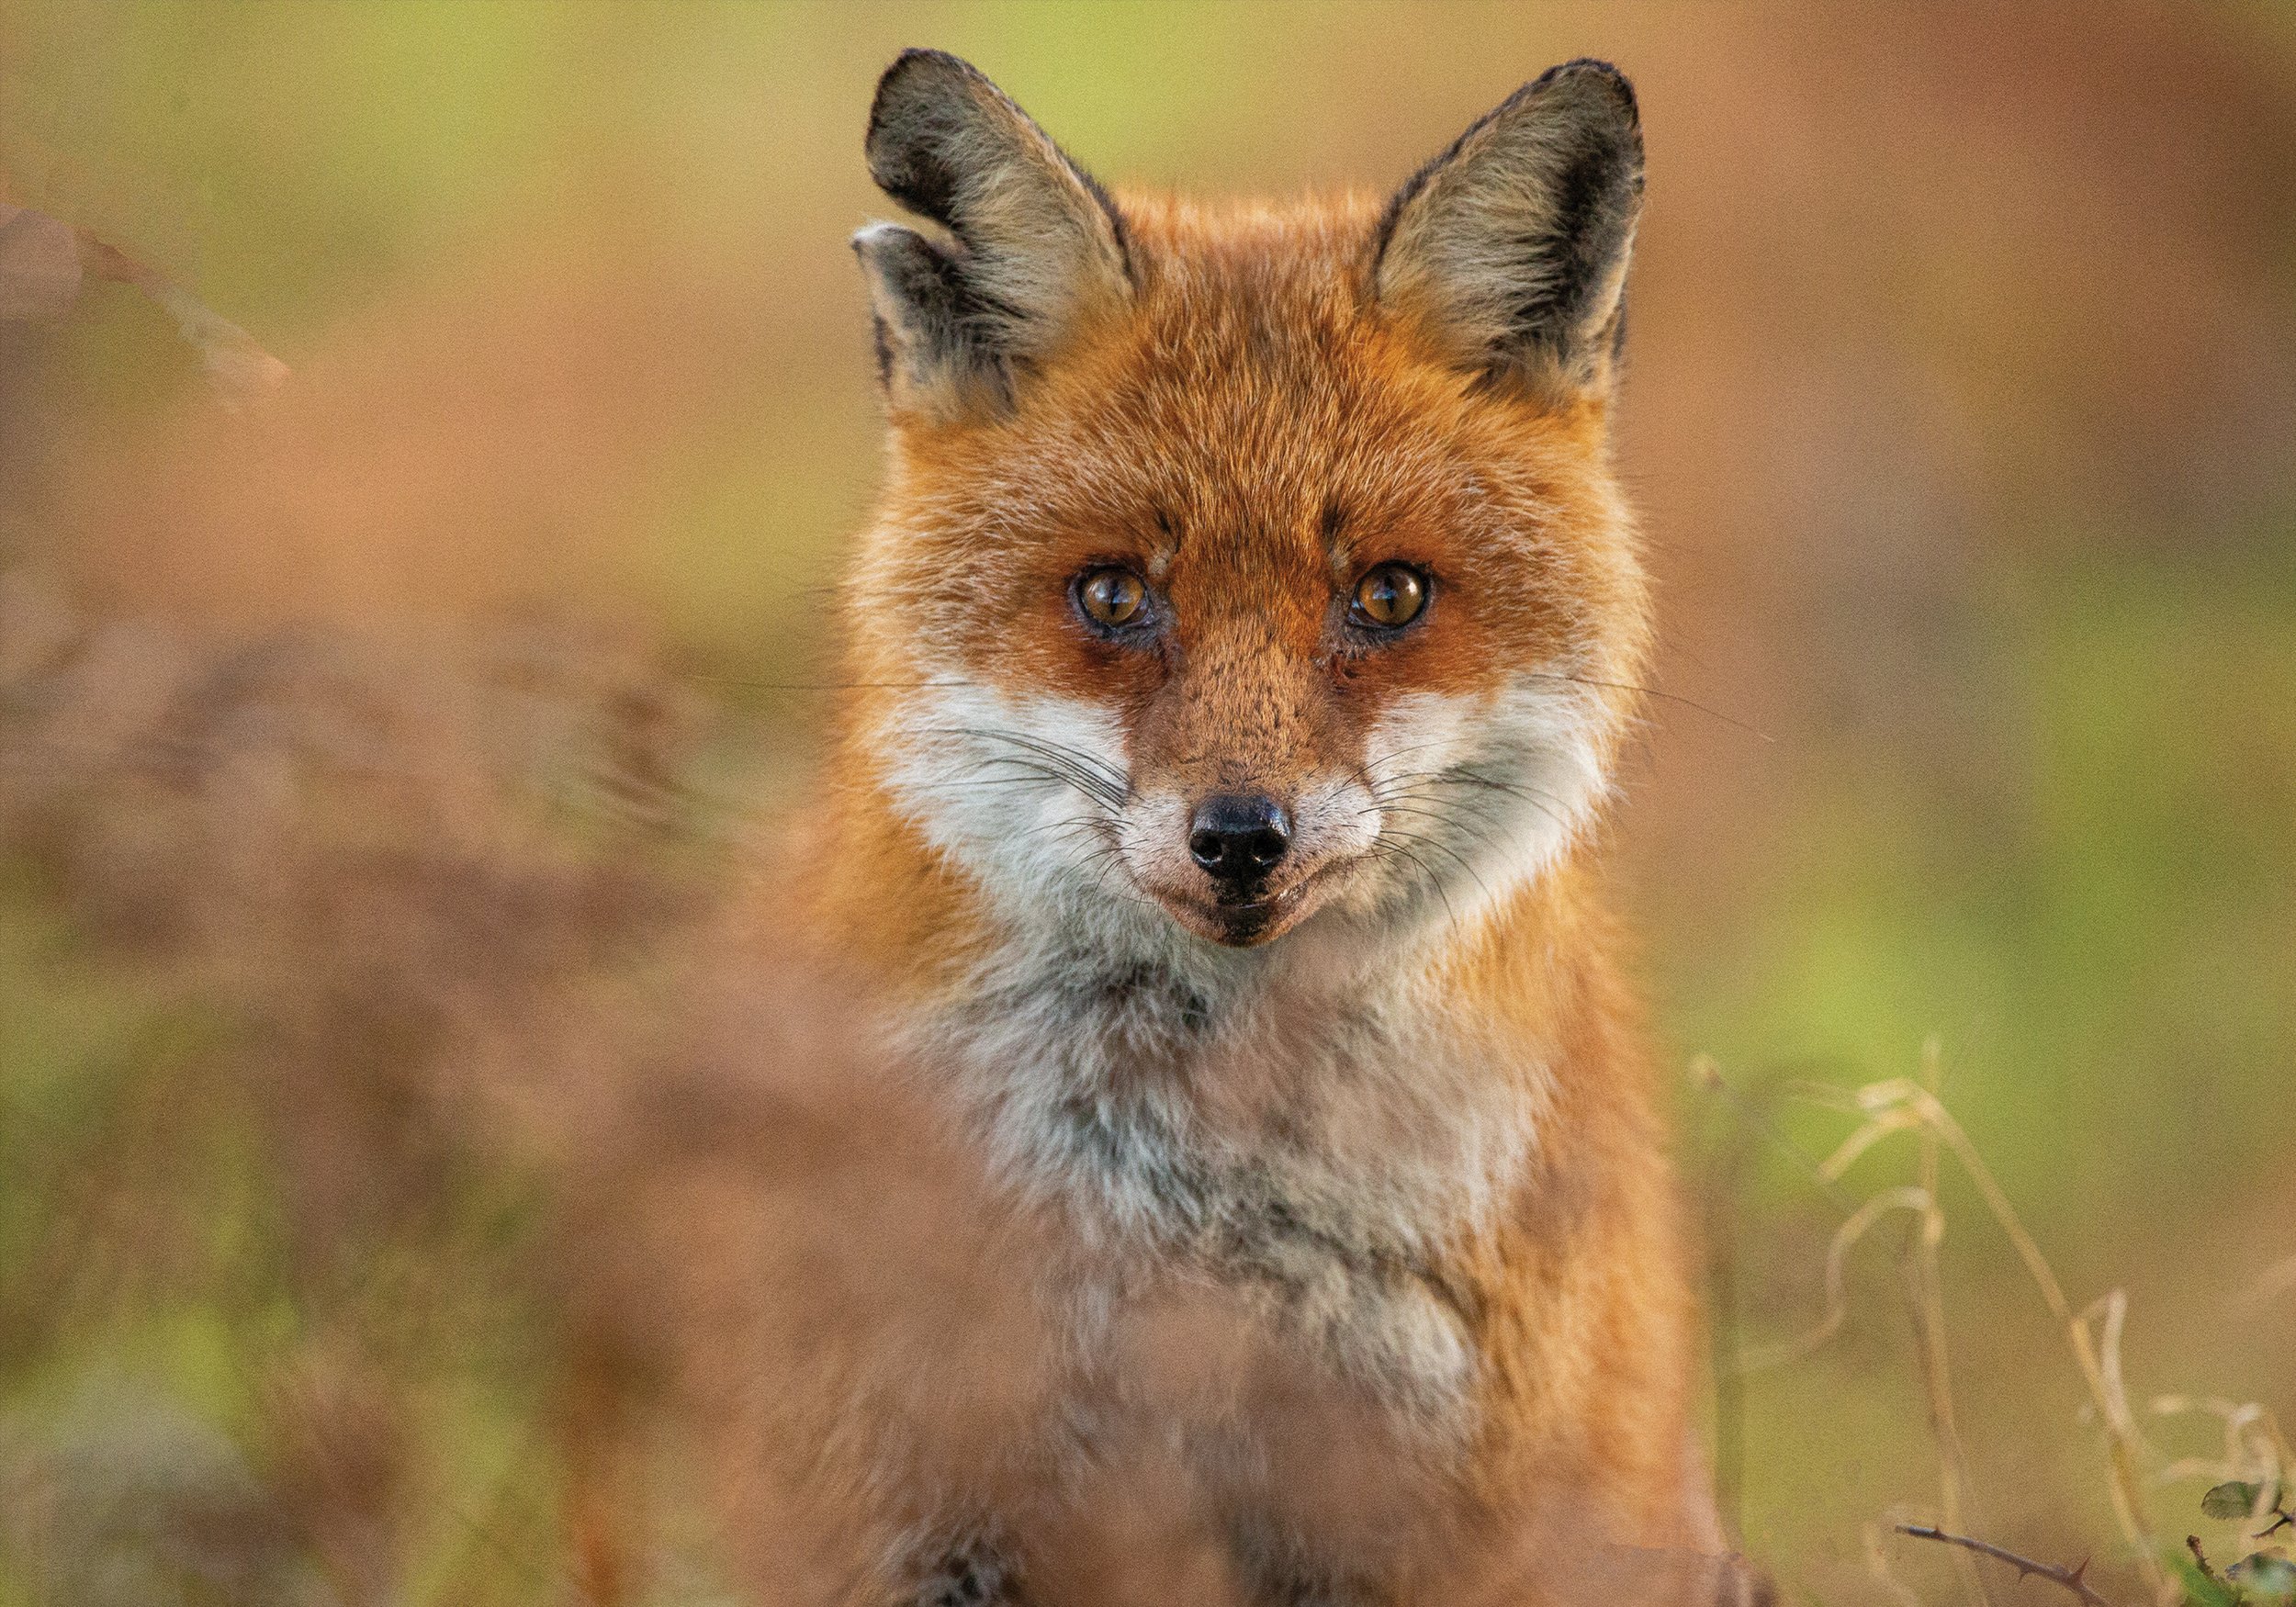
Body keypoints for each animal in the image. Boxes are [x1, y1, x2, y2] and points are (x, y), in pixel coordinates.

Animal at [612, 46, 1758, 1607]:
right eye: (1112, 595)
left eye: (1388, 595)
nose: (1240, 836)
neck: (1199, 1217)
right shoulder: (906, 1492)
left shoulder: (1427, 1515)